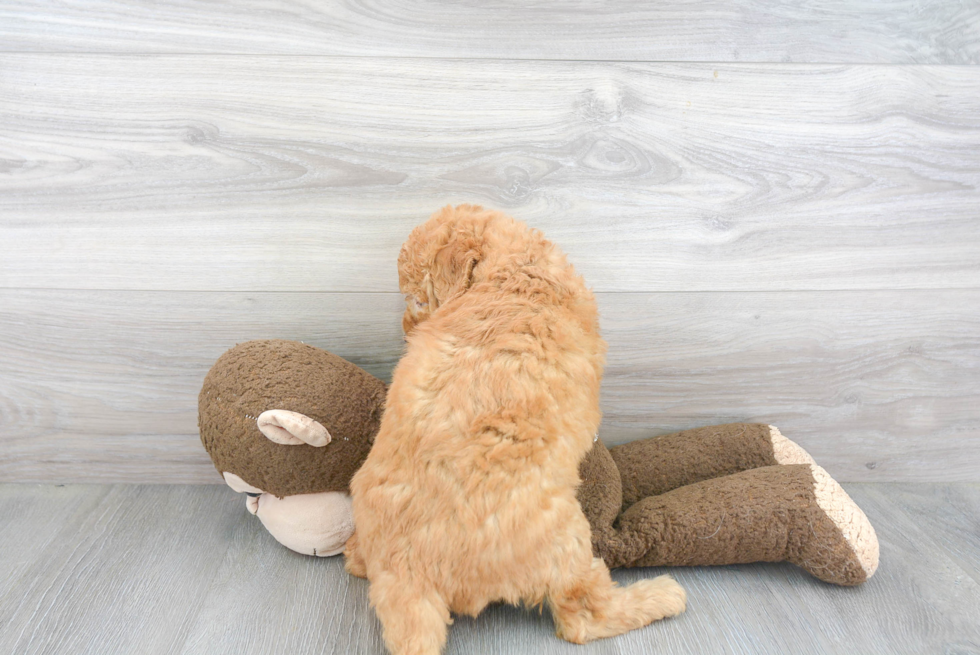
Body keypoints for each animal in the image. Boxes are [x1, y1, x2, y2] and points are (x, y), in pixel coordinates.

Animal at [348, 206, 684, 655]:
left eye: (418, 299)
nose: (407, 331)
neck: (514, 267)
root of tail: (408, 573)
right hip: (566, 538)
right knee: (582, 617)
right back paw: (661, 595)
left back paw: (354, 554)